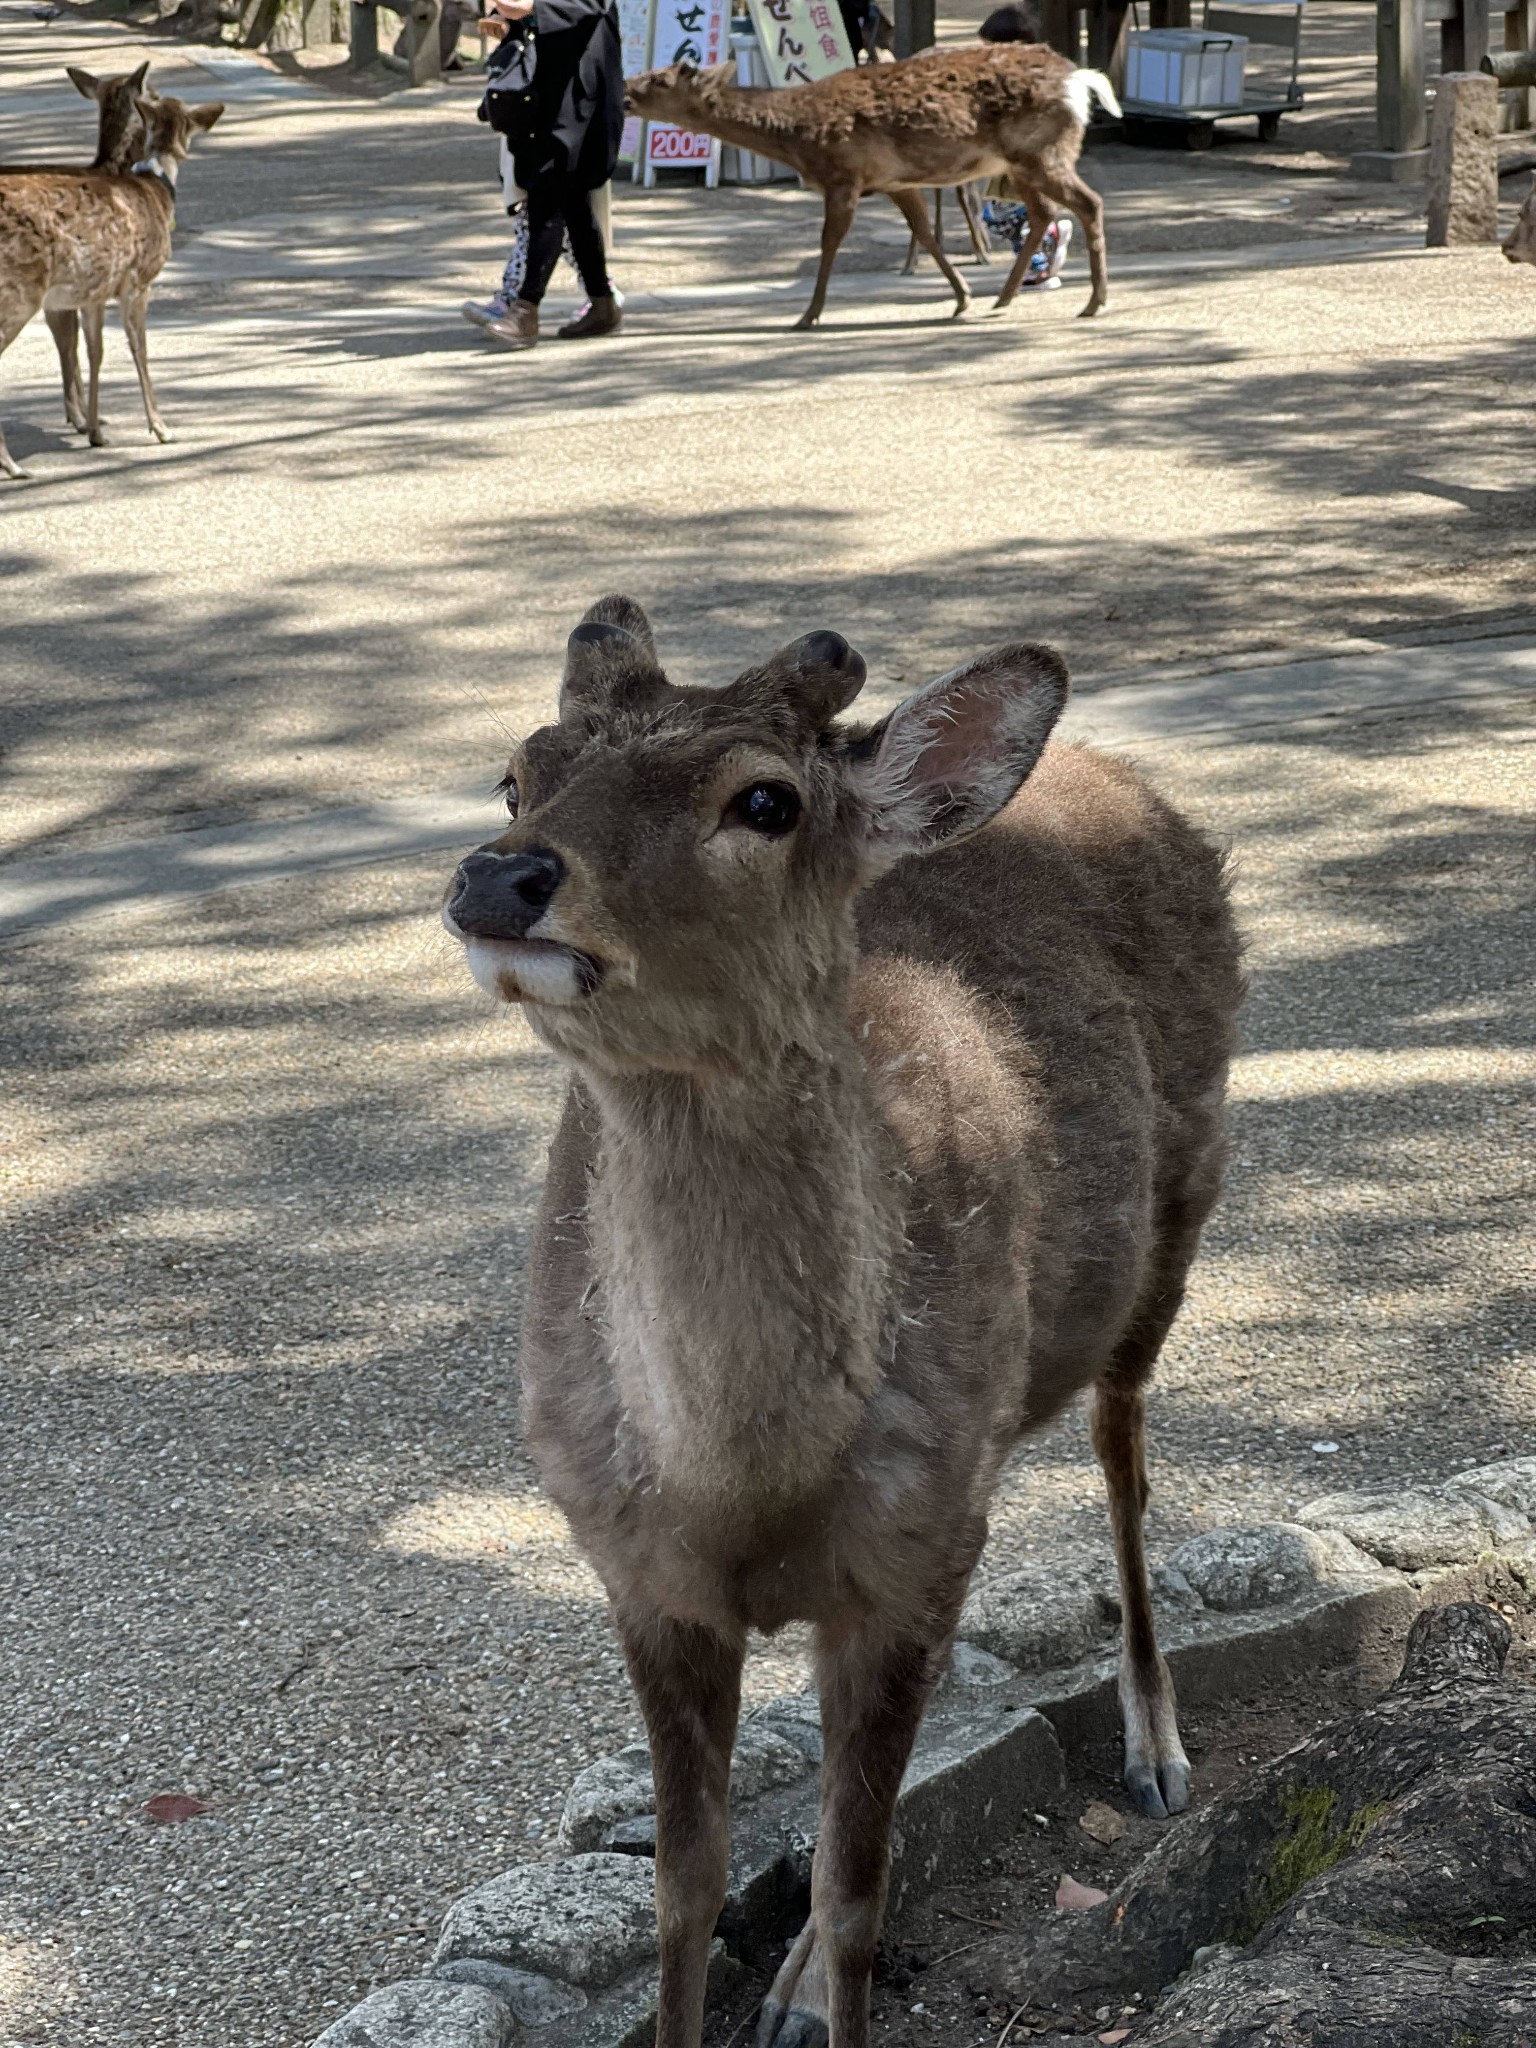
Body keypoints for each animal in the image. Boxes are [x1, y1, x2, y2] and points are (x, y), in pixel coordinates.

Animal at [0, 95, 222, 483]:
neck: (157, 189)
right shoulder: (138, 281)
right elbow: (140, 350)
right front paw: (161, 428)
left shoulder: (94, 291)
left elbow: (95, 352)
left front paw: (95, 432)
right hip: (18, 291)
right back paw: (13, 466)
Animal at [438, 593, 1245, 2048]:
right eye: (517, 772)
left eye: (764, 799)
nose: (498, 876)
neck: (743, 1482)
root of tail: (1109, 768)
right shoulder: (639, 1567)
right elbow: (687, 1886)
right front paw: (758, 1976)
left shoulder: (909, 1554)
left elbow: (864, 1892)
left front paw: (834, 1974)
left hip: (1184, 1206)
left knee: (1125, 1456)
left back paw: (1156, 1749)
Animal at [626, 44, 1122, 325]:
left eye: (660, 79)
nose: (627, 94)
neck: (796, 137)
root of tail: (1079, 79)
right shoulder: (894, 181)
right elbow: (923, 234)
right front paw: (961, 297)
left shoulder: (844, 175)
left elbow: (828, 243)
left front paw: (808, 315)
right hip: (1023, 161)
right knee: (1045, 212)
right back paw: (1001, 298)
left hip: (1041, 150)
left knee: (1088, 202)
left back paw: (1094, 302)